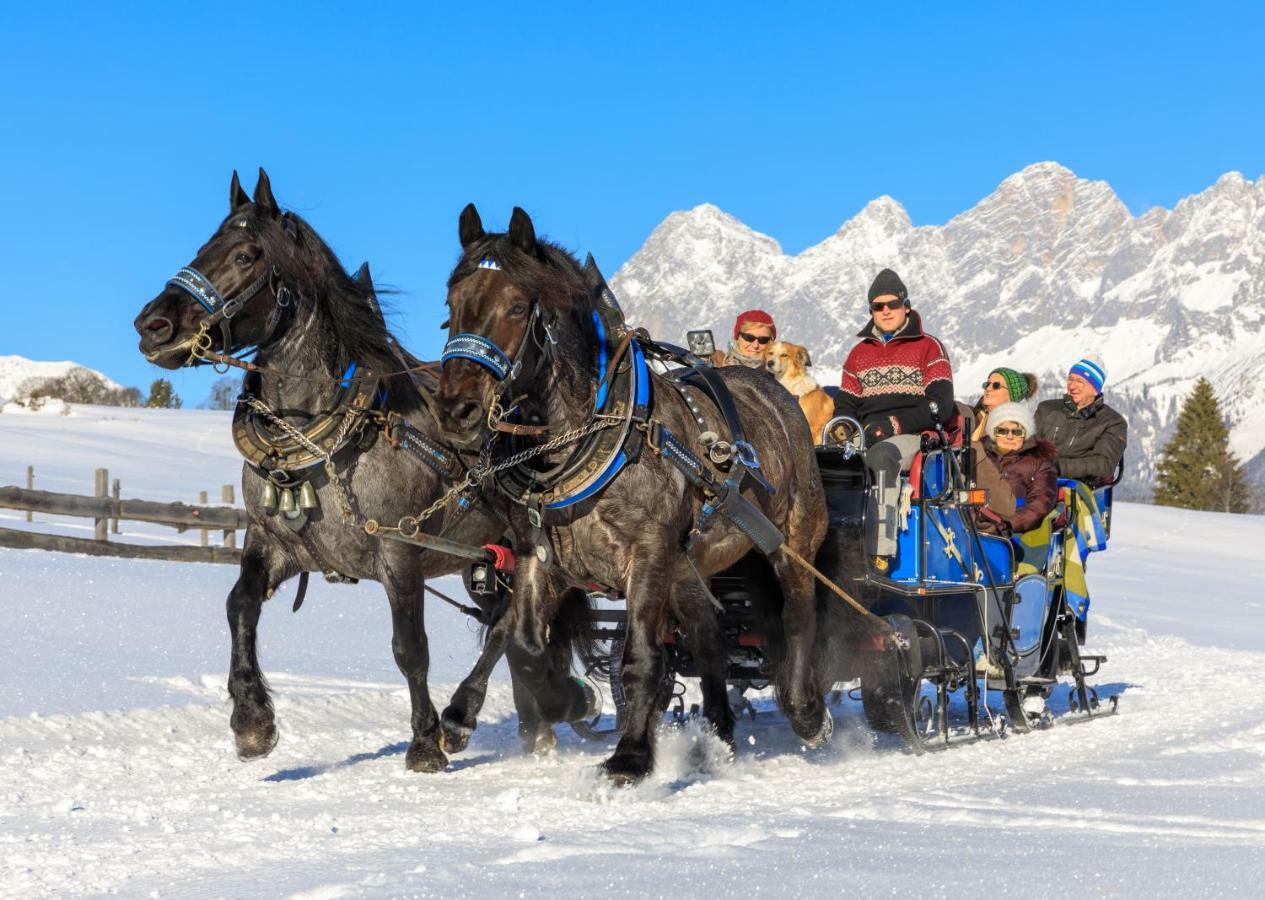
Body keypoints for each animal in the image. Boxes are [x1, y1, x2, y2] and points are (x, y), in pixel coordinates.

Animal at [135, 170, 546, 774]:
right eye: (202, 248)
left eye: (245, 254)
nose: (152, 325)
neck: (318, 435)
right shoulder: (274, 544)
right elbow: (239, 606)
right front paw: (252, 721)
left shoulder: (400, 552)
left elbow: (410, 649)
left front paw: (425, 743)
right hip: (488, 564)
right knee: (506, 625)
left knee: (509, 625)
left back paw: (461, 718)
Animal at [435, 207, 829, 784]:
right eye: (452, 305)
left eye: (516, 306)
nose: (456, 410)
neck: (593, 437)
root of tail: (771, 390)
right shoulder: (538, 556)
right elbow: (524, 644)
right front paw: (566, 702)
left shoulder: (647, 554)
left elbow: (641, 658)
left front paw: (631, 756)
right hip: (687, 564)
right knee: (707, 634)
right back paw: (718, 734)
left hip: (792, 536)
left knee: (799, 611)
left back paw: (806, 712)